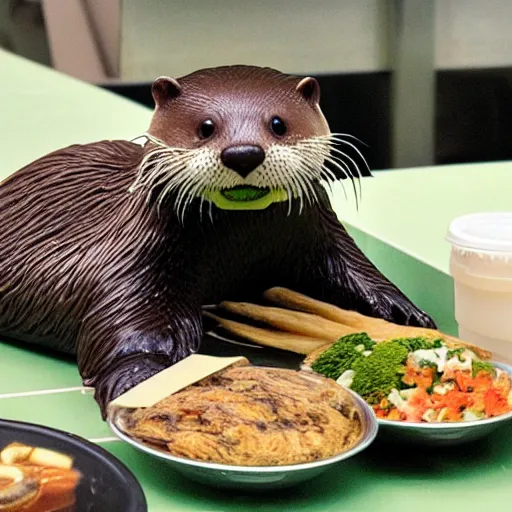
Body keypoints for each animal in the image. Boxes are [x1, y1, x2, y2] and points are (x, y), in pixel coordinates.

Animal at [0, 65, 436, 416]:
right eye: (205, 127)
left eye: (278, 123)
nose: (243, 152)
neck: (237, 248)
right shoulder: (134, 264)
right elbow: (132, 330)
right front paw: (142, 380)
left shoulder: (319, 235)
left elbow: (356, 273)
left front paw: (405, 316)